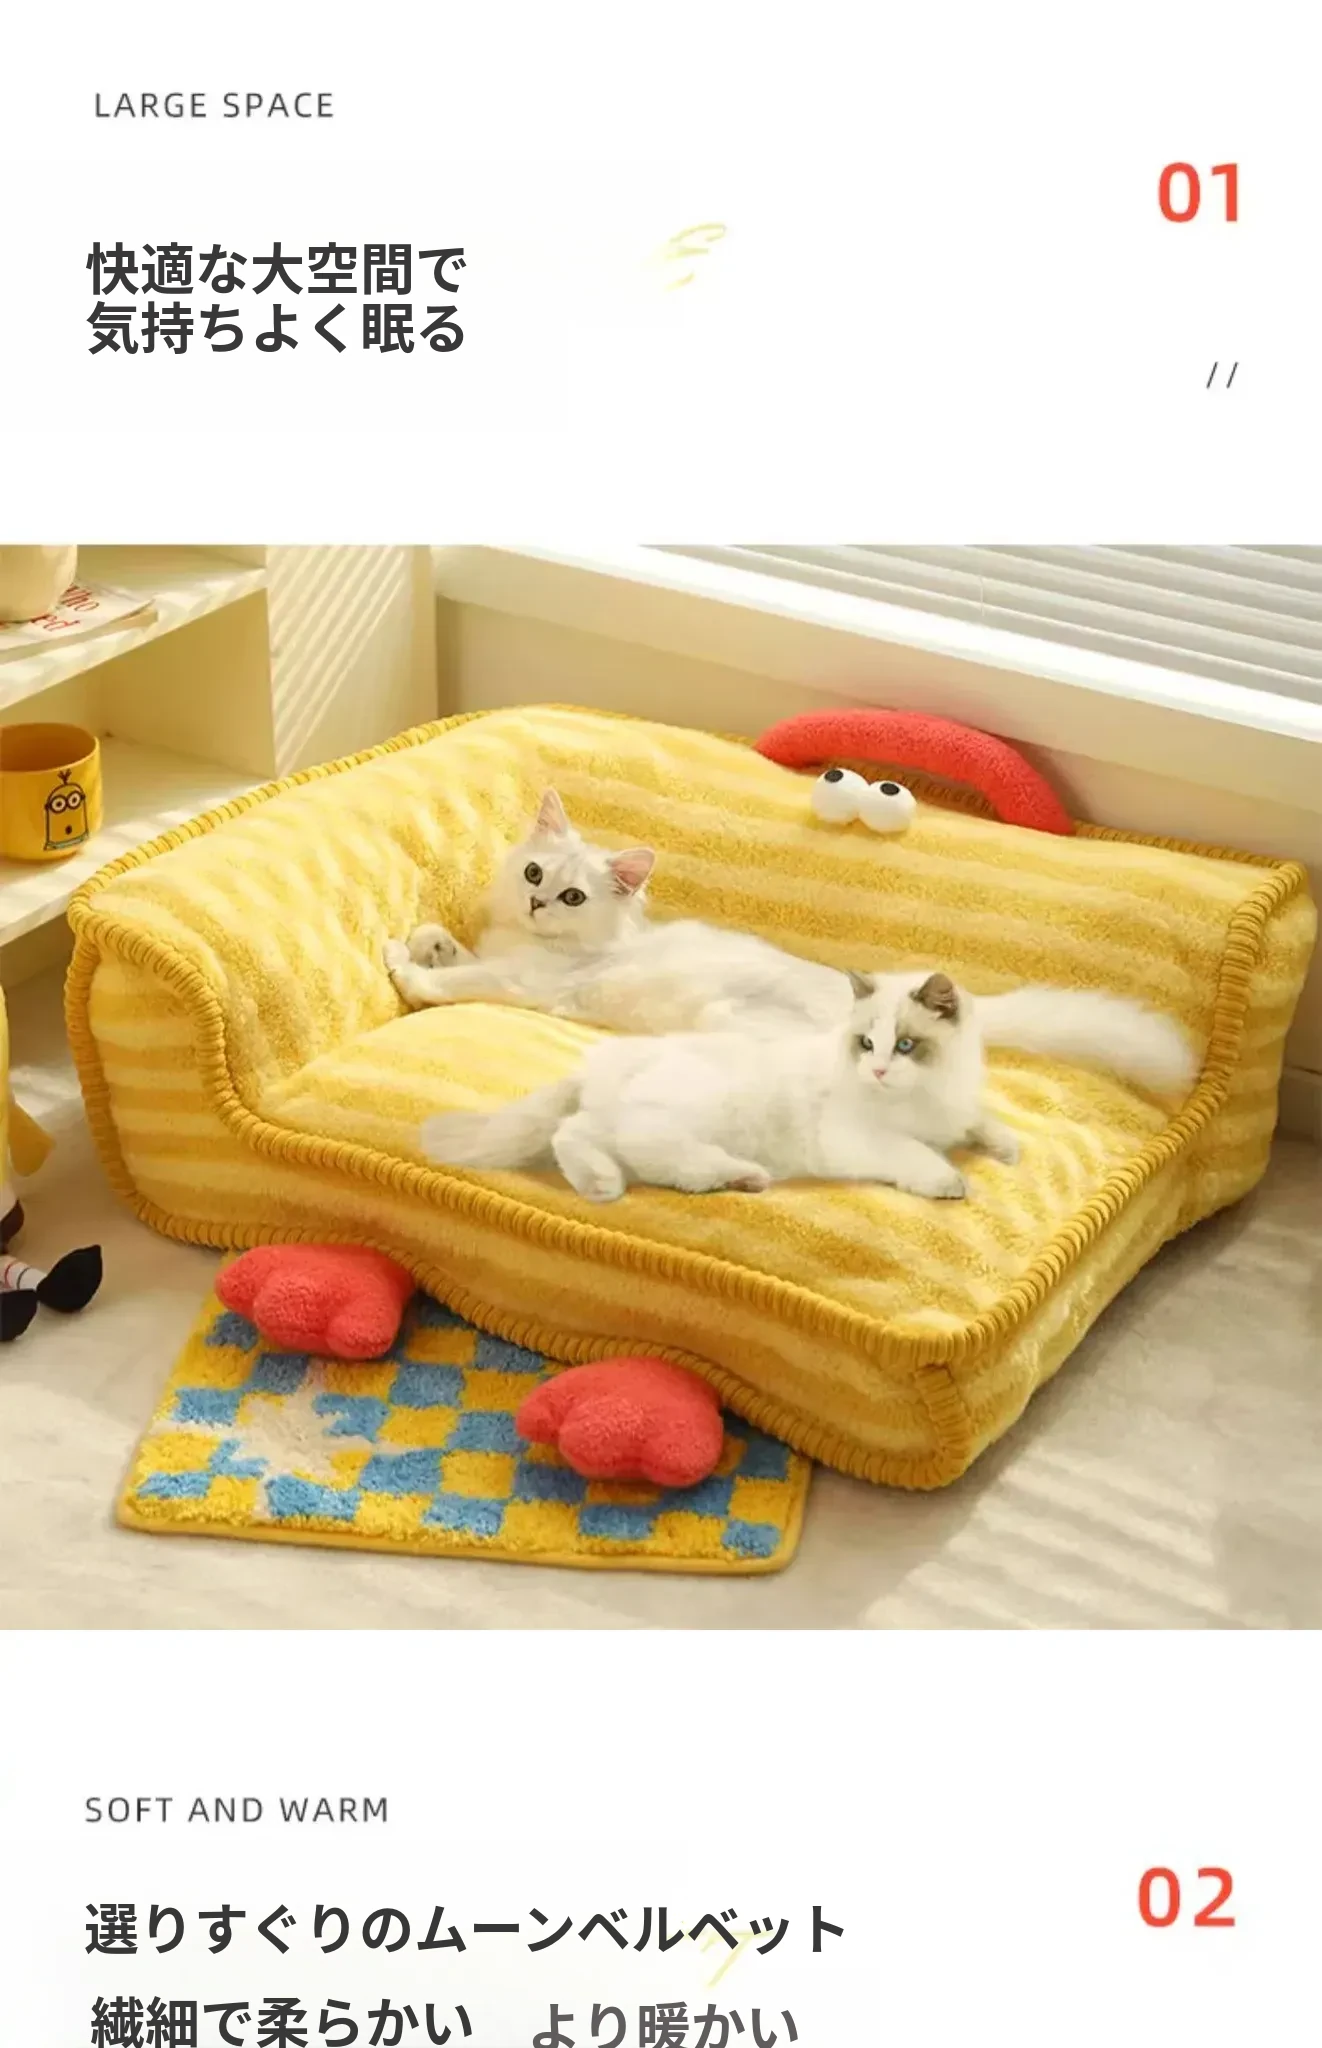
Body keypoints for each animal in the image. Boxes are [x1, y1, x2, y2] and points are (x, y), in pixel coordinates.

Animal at [383, 787, 846, 1035]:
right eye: (534, 873)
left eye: (573, 897)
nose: (536, 902)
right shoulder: (498, 956)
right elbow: (448, 945)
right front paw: (427, 943)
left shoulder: (520, 979)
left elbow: (451, 980)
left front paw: (402, 964)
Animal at [420, 966, 1197, 1203]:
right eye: (867, 1044)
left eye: (905, 1045)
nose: (878, 1068)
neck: (921, 1096)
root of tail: (601, 1062)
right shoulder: (859, 1139)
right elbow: (919, 1158)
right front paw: (949, 1182)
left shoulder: (958, 1110)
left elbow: (983, 1125)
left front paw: (1003, 1150)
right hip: (683, 1111)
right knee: (613, 1141)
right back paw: (720, 1177)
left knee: (582, 1136)